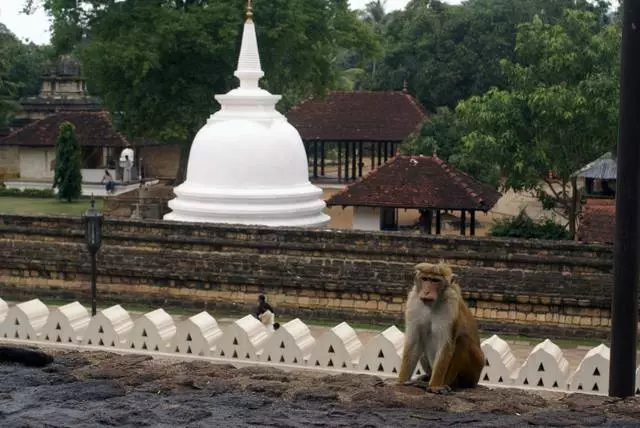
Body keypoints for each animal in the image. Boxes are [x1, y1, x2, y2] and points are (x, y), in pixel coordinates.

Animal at [396, 260, 484, 394]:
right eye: (425, 279)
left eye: (435, 281)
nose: (426, 292)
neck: (433, 303)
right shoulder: (413, 301)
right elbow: (414, 342)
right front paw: (401, 381)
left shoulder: (450, 307)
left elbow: (445, 345)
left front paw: (435, 386)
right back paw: (426, 378)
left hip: (475, 372)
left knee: (463, 341)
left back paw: (446, 384)